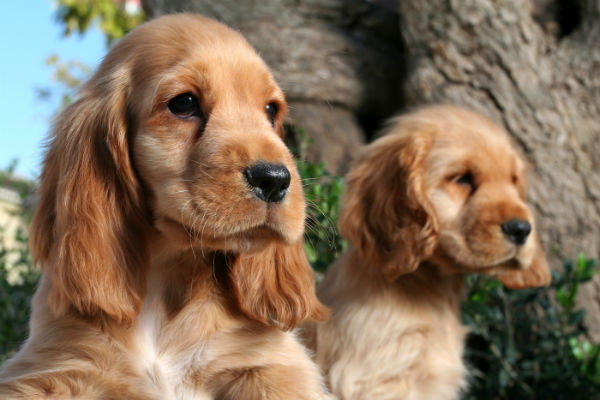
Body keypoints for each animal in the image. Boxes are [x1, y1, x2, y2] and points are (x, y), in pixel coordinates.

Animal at [0, 14, 332, 398]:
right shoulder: (59, 363)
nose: (275, 179)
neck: (166, 275)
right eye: (184, 103)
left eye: (271, 109)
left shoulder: (272, 365)